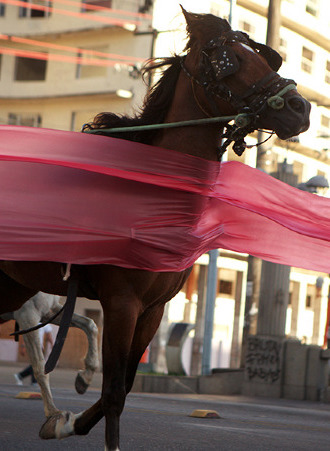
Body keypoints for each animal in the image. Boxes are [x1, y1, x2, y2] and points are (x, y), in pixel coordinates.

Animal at [0, 7, 310, 451]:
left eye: (265, 56)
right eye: (230, 60)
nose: (301, 108)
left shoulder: (153, 310)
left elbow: (123, 388)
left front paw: (66, 422)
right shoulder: (121, 302)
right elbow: (113, 391)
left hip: (14, 286)